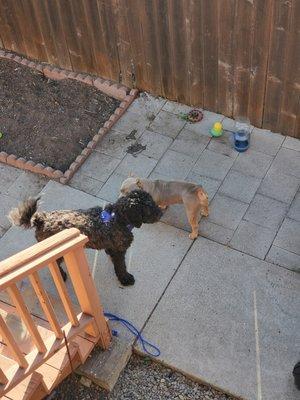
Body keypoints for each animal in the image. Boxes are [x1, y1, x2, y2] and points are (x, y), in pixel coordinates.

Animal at [9, 190, 163, 284]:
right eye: (149, 208)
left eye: (153, 202)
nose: (161, 213)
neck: (118, 218)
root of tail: (41, 219)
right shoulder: (119, 250)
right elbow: (121, 266)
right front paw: (125, 279)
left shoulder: (113, 247)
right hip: (57, 253)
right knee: (55, 264)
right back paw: (62, 276)